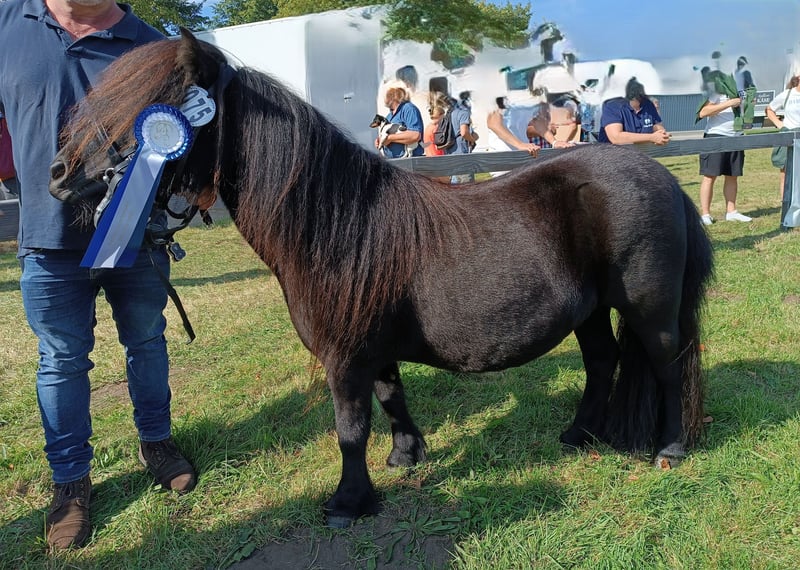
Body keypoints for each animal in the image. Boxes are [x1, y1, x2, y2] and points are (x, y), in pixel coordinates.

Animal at [49, 29, 714, 528]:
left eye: (146, 109)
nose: (58, 177)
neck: (337, 225)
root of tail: (662, 178)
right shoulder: (375, 347)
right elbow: (392, 399)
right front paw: (405, 457)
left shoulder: (345, 356)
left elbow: (350, 428)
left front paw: (349, 501)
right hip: (591, 310)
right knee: (602, 363)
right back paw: (579, 434)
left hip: (648, 308)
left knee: (665, 364)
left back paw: (669, 448)